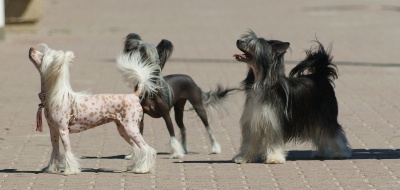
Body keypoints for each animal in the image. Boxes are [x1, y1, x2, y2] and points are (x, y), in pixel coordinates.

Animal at [28, 44, 161, 175]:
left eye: (43, 55)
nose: (31, 49)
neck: (57, 96)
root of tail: (133, 96)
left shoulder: (63, 131)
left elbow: (68, 151)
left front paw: (70, 171)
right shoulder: (54, 131)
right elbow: (55, 151)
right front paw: (51, 169)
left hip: (131, 129)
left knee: (146, 149)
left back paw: (143, 169)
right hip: (123, 130)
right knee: (138, 149)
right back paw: (137, 167)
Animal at [233, 30, 352, 164]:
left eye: (252, 45)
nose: (238, 40)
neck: (262, 82)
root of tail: (320, 75)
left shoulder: (274, 122)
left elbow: (274, 142)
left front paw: (274, 158)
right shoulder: (253, 121)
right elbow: (249, 142)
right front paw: (244, 157)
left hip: (325, 118)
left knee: (335, 134)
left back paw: (342, 153)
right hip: (314, 119)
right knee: (321, 135)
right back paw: (321, 153)